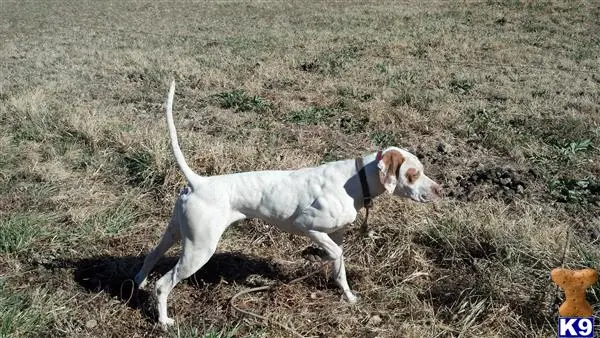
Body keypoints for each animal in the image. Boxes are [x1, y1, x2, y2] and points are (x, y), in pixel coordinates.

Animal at [137, 80, 446, 328]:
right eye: (413, 174)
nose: (439, 189)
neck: (356, 180)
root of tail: (198, 182)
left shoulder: (336, 234)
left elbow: (340, 267)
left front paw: (347, 295)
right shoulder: (308, 226)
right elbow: (336, 255)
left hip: (176, 233)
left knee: (150, 258)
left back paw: (138, 284)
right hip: (199, 249)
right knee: (163, 285)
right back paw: (163, 320)